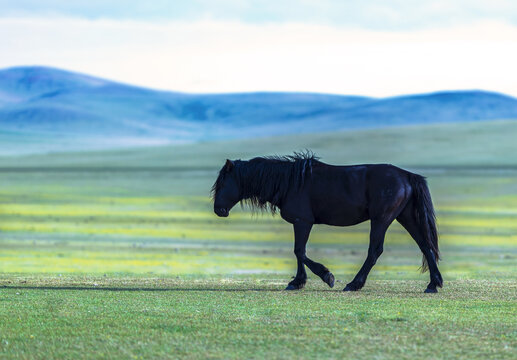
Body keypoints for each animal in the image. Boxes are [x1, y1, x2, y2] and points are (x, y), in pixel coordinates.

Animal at [212, 152, 442, 292]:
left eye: (222, 183)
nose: (218, 210)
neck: (289, 183)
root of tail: (407, 175)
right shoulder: (300, 223)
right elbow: (299, 252)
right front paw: (298, 282)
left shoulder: (302, 221)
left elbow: (299, 251)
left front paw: (326, 276)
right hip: (406, 216)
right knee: (425, 245)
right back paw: (433, 284)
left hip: (381, 219)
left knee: (375, 251)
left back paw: (354, 284)